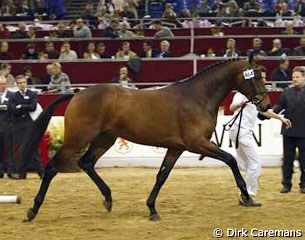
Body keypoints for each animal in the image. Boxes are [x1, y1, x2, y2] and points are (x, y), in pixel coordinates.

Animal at [25, 57, 270, 222]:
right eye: (256, 75)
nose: (265, 105)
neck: (197, 97)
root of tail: (77, 93)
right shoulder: (197, 143)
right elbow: (231, 160)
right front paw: (247, 197)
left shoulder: (176, 148)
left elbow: (161, 176)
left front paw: (152, 209)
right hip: (78, 139)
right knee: (52, 166)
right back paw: (33, 210)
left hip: (105, 139)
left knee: (86, 163)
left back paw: (108, 199)